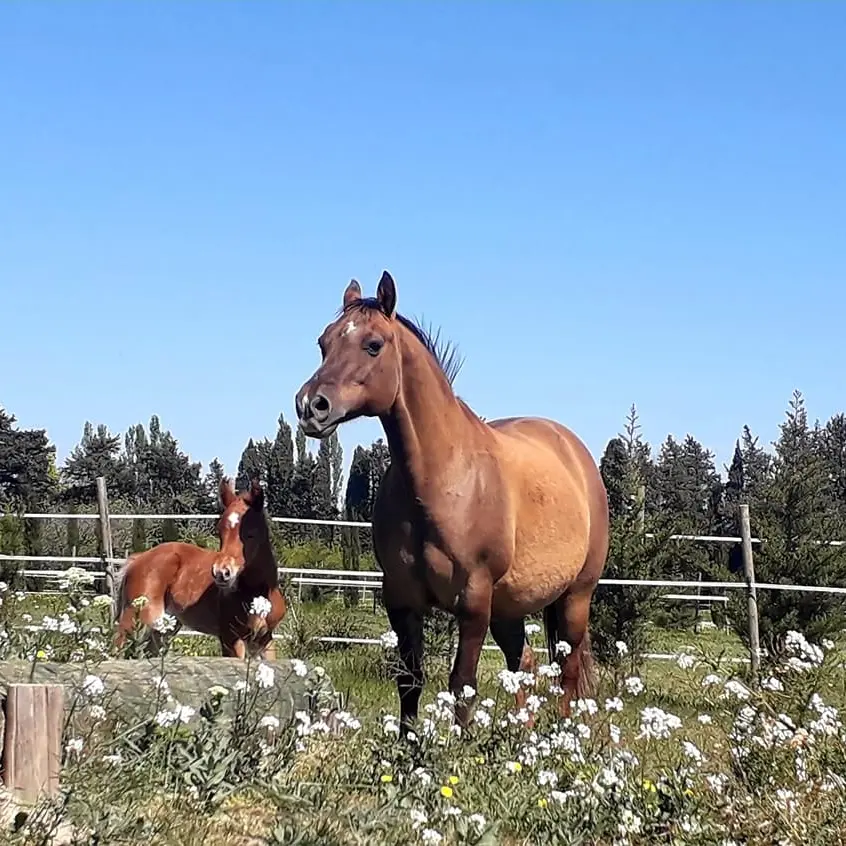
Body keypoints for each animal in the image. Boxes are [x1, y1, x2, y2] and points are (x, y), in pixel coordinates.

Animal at [113, 477, 287, 659]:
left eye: (251, 533)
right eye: (220, 531)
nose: (221, 572)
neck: (256, 592)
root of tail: (138, 559)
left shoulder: (265, 639)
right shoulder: (230, 637)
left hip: (164, 628)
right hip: (134, 618)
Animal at [294, 271, 609, 731]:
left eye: (373, 344)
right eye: (323, 342)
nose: (310, 406)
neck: (441, 479)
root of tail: (575, 453)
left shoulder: (474, 602)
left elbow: (463, 685)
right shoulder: (401, 599)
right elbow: (410, 681)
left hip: (574, 598)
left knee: (566, 675)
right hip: (510, 608)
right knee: (525, 665)